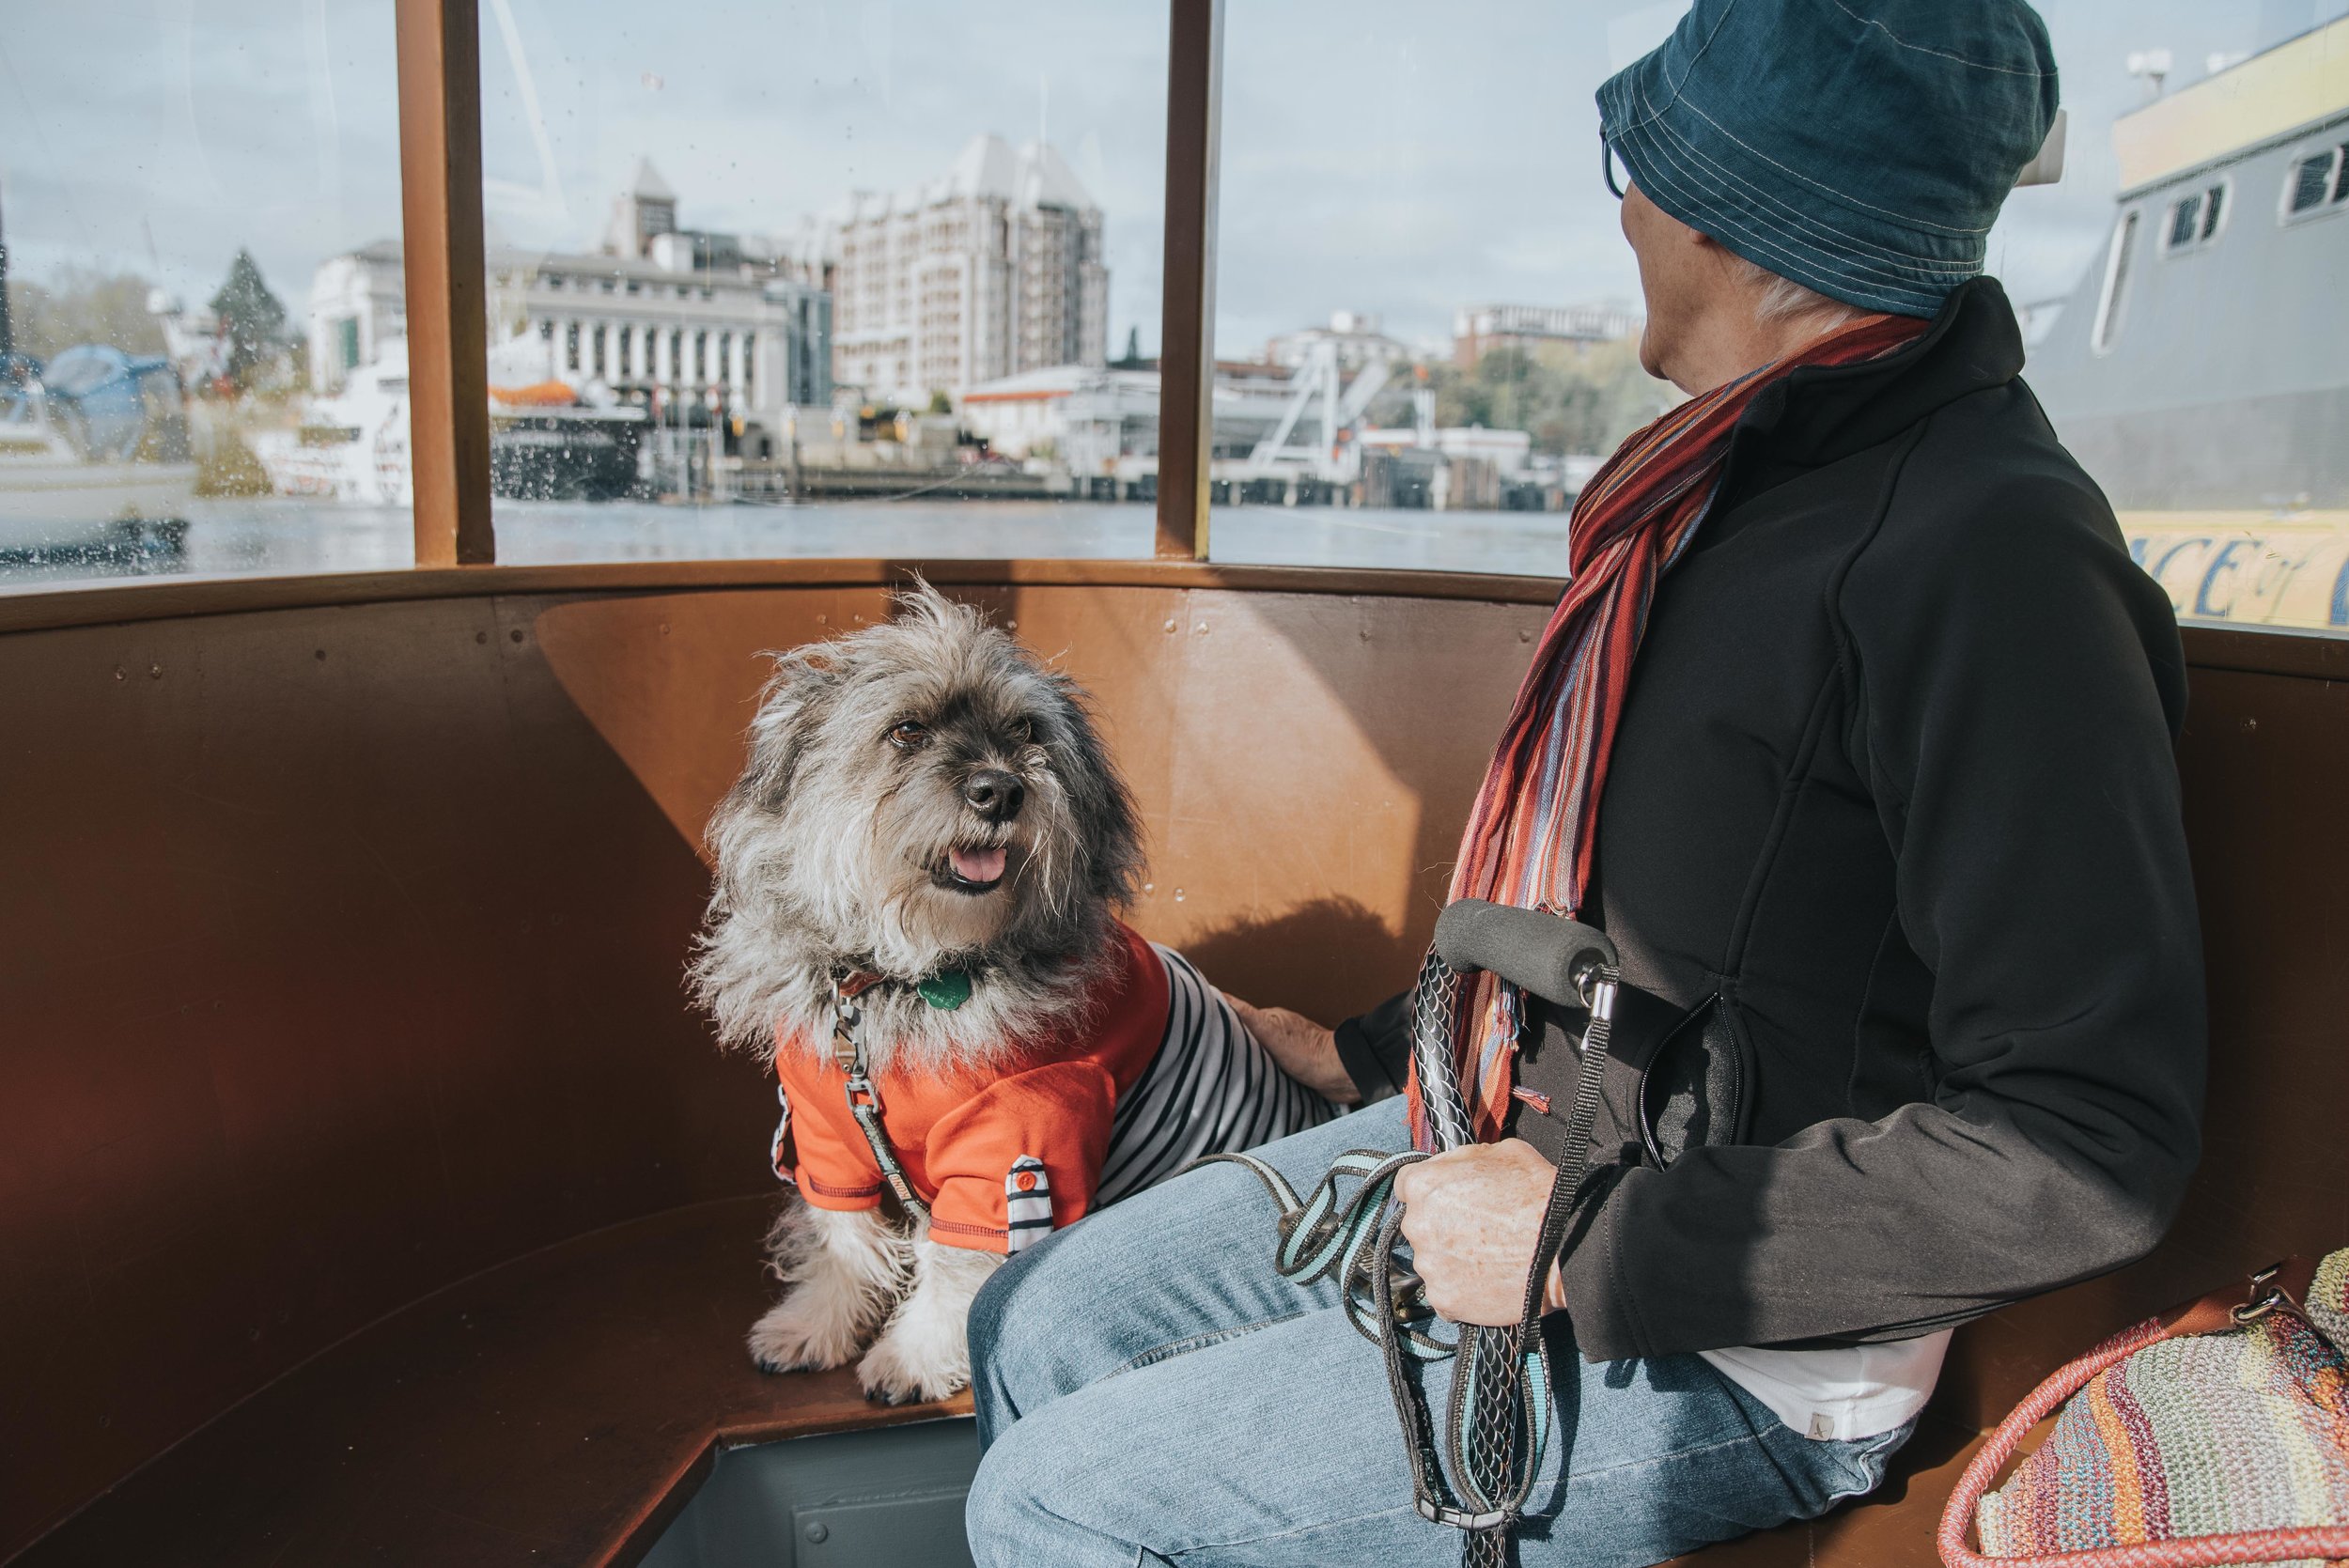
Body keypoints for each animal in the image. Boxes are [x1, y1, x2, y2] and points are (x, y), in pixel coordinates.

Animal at [686, 582, 1334, 1399]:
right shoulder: (825, 1132)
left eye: (1027, 729)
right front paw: (815, 1324)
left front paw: (913, 1355)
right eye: (907, 729)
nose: (1000, 791)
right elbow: (841, 1236)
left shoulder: (1011, 1152)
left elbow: (956, 1262)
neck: (904, 978)